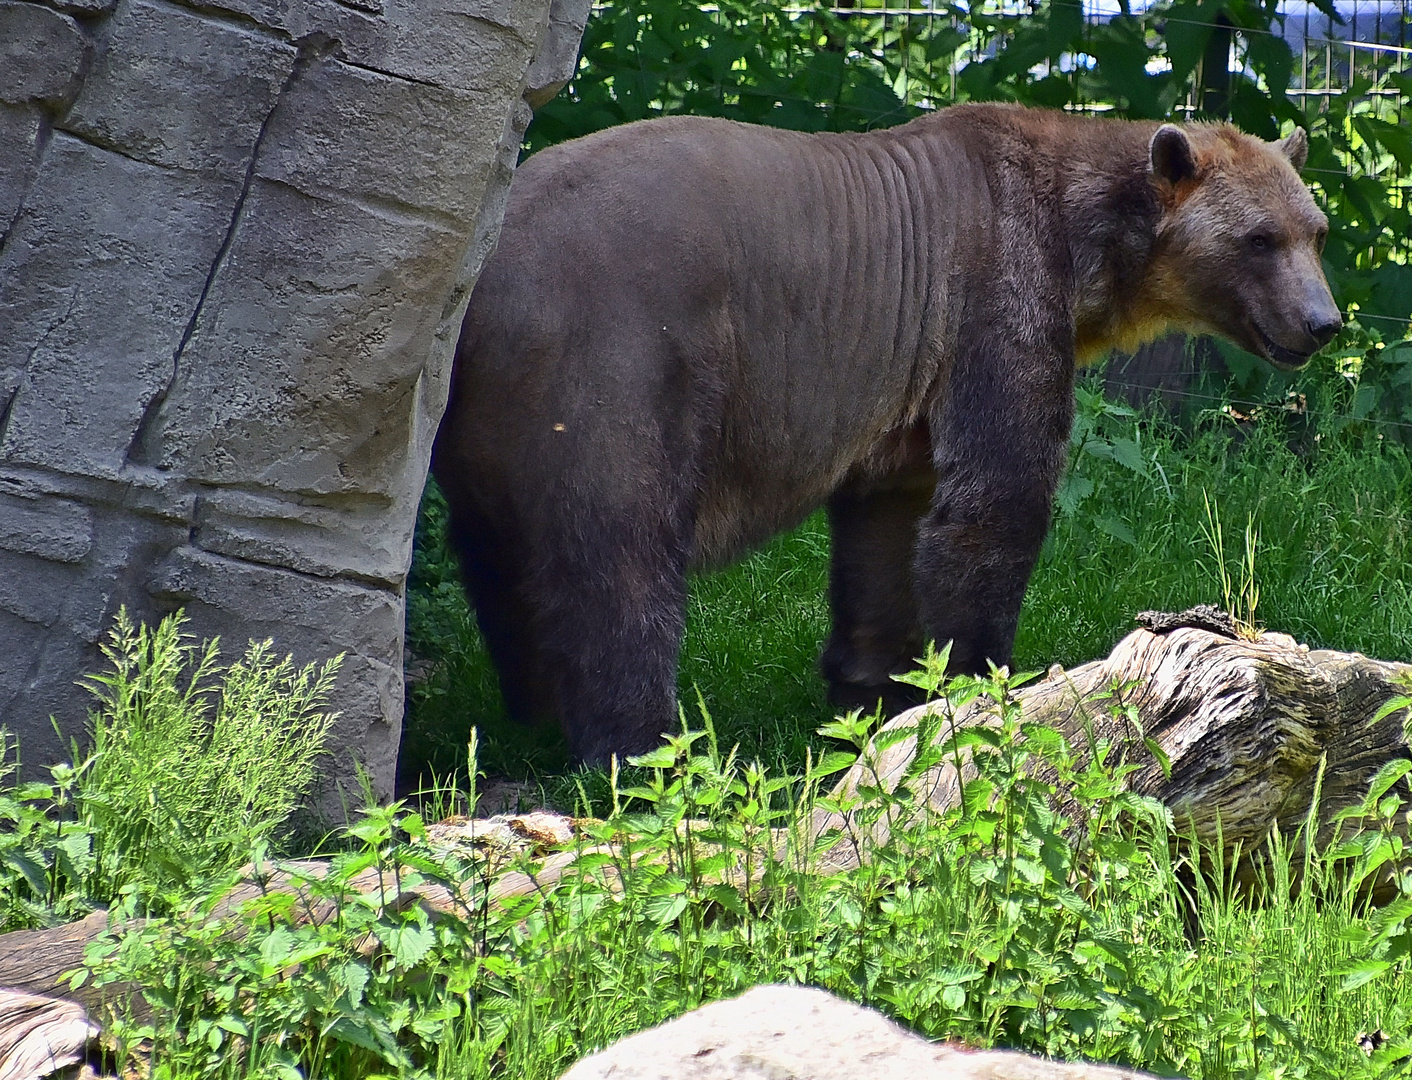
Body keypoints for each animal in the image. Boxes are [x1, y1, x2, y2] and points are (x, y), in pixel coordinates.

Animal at [434, 98, 1338, 756]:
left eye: (1315, 230)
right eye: (1259, 238)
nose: (1323, 322)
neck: (1084, 249)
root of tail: (486, 278)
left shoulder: (905, 387)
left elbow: (888, 530)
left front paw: (872, 691)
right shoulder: (993, 297)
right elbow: (993, 501)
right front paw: (989, 678)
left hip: (483, 423)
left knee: (500, 561)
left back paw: (531, 714)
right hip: (616, 360)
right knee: (620, 559)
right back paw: (645, 744)